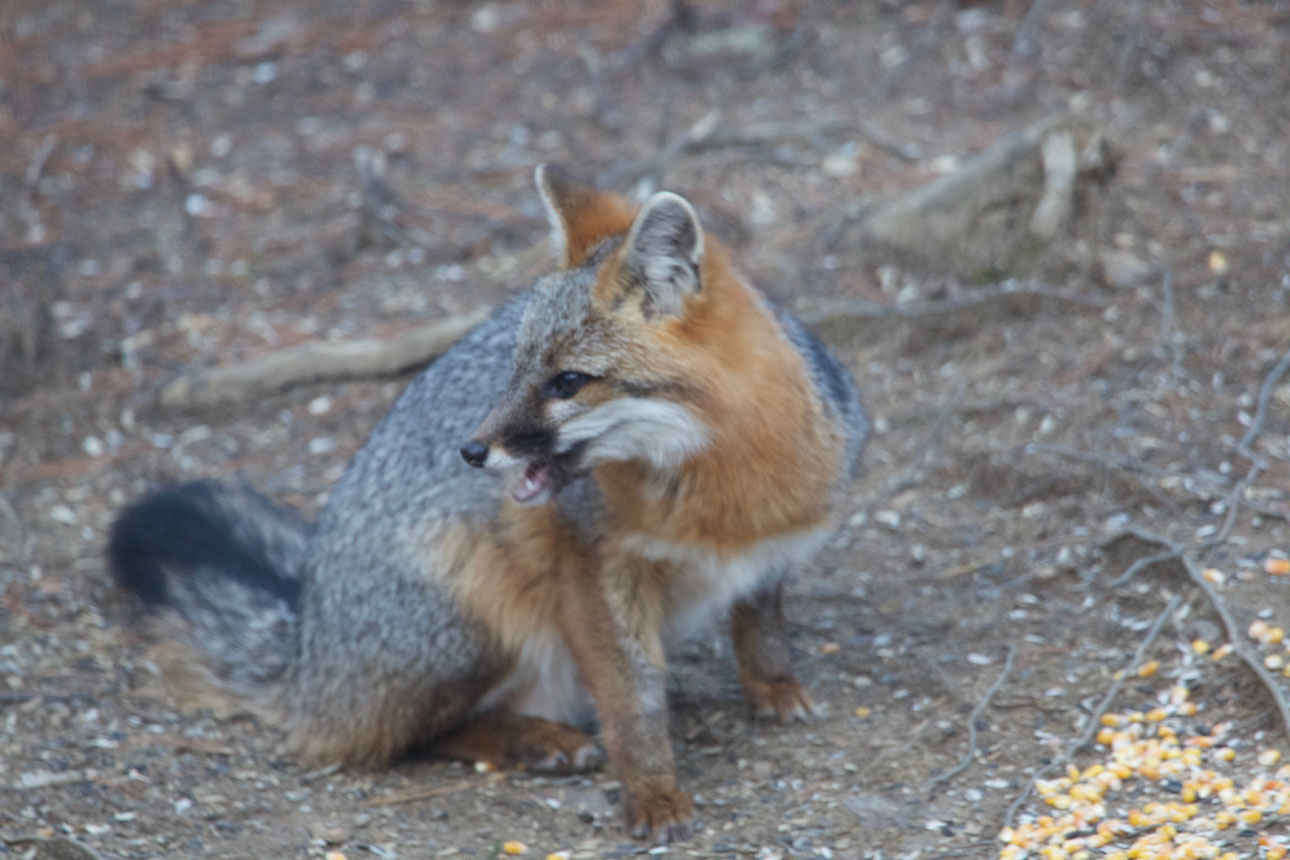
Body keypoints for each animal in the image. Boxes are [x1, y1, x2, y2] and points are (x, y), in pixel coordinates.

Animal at [107, 165, 868, 843]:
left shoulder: (770, 554)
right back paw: (534, 739)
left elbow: (760, 627)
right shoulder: (593, 566)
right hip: (476, 614)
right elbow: (631, 698)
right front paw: (653, 792)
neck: (722, 495)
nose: (471, 451)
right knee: (393, 740)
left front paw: (772, 688)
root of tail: (305, 643)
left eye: (568, 382)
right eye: (515, 368)